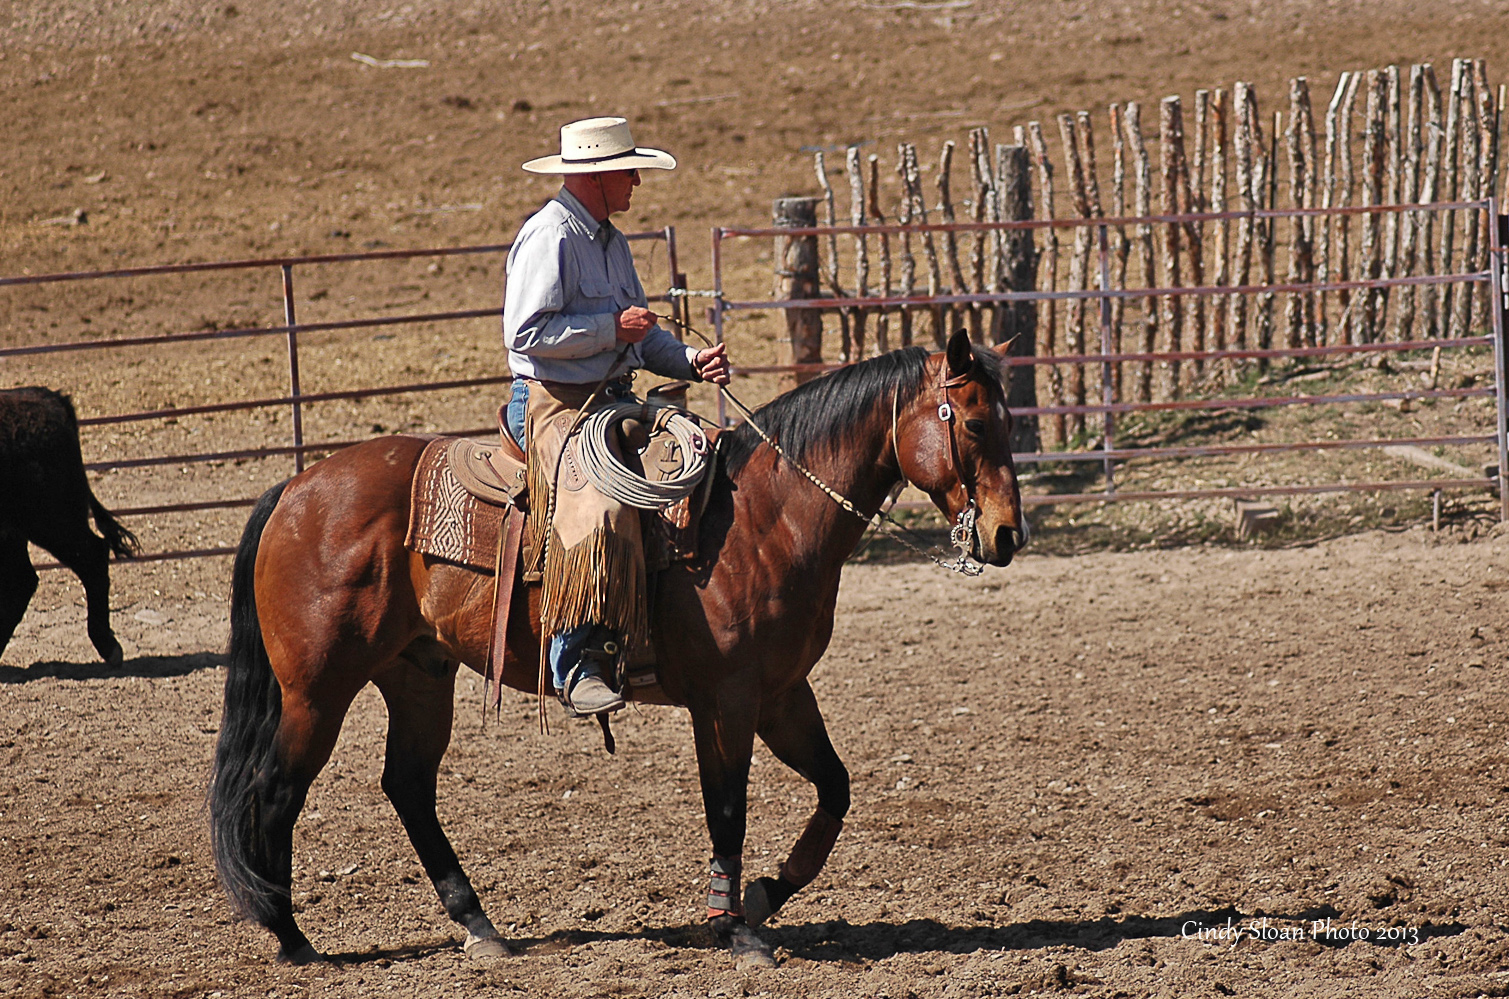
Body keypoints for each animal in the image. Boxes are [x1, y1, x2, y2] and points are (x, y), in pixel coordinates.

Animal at [209, 328, 1026, 971]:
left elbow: (834, 790)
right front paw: (735, 928)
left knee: (408, 785)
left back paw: (479, 926)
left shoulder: (782, 693)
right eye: (974, 423)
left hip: (417, 674)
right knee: (277, 789)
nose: (1006, 535)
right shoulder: (725, 702)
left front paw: (762, 897)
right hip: (317, 689)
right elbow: (727, 806)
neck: (762, 518)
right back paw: (292, 938)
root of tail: (295, 488)